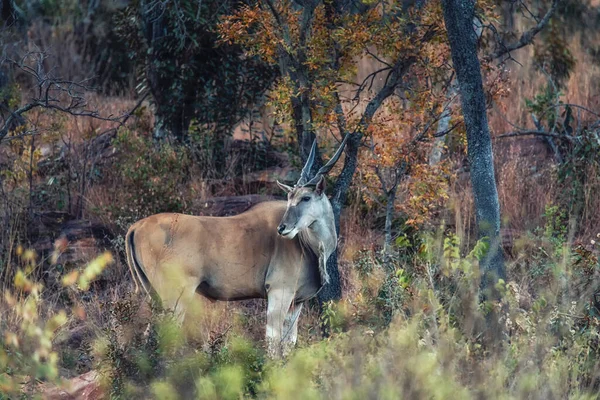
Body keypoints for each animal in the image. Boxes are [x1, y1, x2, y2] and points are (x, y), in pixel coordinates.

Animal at [125, 135, 346, 356]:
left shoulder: (296, 303)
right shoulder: (278, 292)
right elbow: (273, 345)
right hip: (175, 296)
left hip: (153, 295)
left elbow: (288, 344)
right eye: (289, 198)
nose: (282, 228)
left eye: (306, 197)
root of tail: (137, 226)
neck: (307, 245)